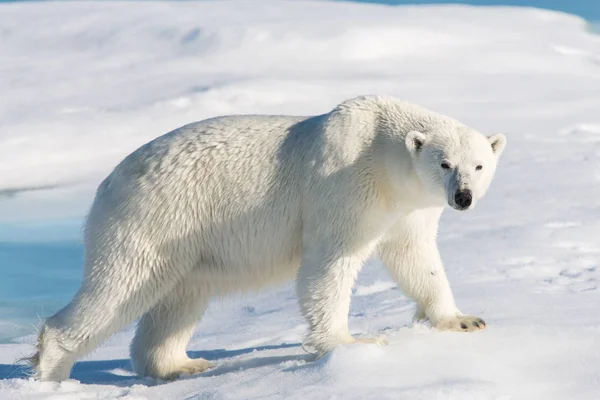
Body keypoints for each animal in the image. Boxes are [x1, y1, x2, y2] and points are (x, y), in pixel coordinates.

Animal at [28, 94, 506, 382]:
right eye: (445, 163)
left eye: (479, 164)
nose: (463, 197)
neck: (382, 150)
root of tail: (108, 182)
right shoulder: (345, 185)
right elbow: (329, 262)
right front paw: (352, 344)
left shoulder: (406, 207)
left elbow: (416, 258)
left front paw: (464, 320)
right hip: (154, 217)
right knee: (120, 286)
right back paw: (53, 369)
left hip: (185, 244)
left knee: (178, 299)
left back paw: (182, 364)